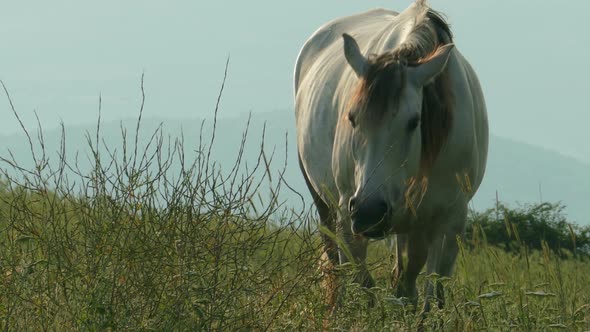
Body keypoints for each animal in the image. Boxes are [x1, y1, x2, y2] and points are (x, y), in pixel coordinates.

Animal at [294, 0, 490, 312]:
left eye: (414, 121)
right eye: (352, 118)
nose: (369, 211)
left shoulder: (450, 221)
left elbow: (431, 297)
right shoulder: (347, 216)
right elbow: (363, 285)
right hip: (326, 205)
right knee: (336, 266)